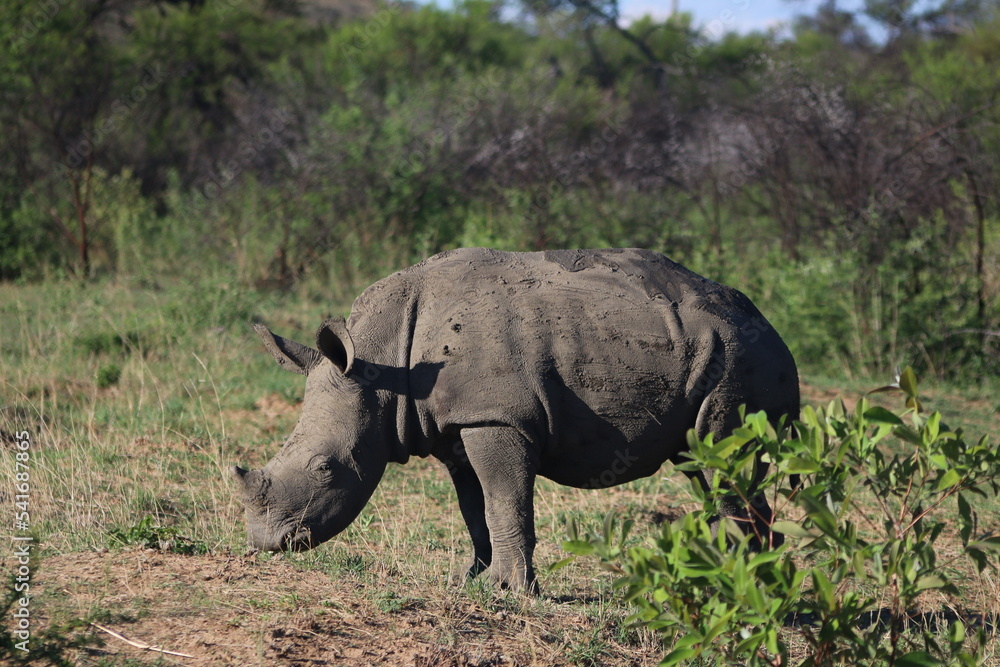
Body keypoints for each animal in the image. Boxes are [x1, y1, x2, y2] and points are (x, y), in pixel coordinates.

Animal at [232, 248, 799, 592]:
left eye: (326, 468)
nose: (266, 543)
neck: (382, 363)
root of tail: (770, 325)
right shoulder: (456, 426)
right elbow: (475, 509)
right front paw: (472, 581)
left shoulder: (496, 418)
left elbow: (505, 500)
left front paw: (508, 590)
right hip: (714, 352)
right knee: (702, 462)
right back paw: (734, 585)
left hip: (741, 358)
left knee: (723, 457)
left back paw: (746, 588)